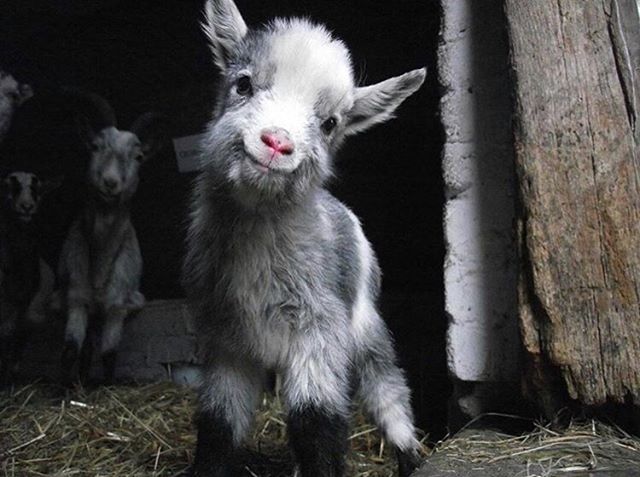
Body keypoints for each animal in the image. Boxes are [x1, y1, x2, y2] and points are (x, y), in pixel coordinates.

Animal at [58, 107, 163, 385]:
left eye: (139, 156)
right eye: (95, 146)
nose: (110, 183)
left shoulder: (119, 302)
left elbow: (109, 352)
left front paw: (106, 386)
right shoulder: (76, 297)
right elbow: (70, 349)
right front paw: (64, 388)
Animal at [182, 1, 426, 475]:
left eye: (330, 123)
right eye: (243, 84)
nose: (277, 142)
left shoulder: (318, 330)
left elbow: (316, 420)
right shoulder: (226, 342)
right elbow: (219, 422)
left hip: (364, 322)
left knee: (387, 387)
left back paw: (409, 454)